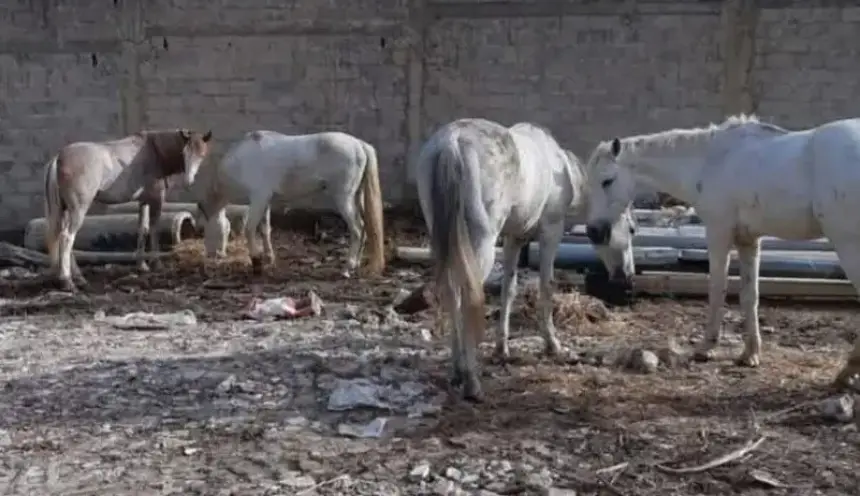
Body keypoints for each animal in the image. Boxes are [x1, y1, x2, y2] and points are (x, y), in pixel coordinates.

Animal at [42, 129, 212, 290]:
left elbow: (143, 229)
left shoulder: (143, 201)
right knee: (67, 238)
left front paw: (142, 266)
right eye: (184, 153)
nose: (189, 181)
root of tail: (58, 158)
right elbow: (154, 229)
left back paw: (78, 278)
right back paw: (67, 281)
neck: (154, 150)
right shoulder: (157, 199)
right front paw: (156, 263)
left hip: (63, 210)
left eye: (202, 155)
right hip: (78, 209)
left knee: (62, 237)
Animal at [195, 130, 386, 278]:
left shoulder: (258, 198)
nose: (210, 256)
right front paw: (269, 258)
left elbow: (249, 229)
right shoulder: (265, 201)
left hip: (343, 198)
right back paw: (356, 264)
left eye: (205, 230)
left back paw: (347, 268)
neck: (241, 160)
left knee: (357, 229)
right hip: (356, 197)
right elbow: (265, 229)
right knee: (364, 228)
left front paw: (256, 262)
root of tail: (359, 144)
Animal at [414, 117, 636, 400]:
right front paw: (553, 344)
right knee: (467, 297)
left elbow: (508, 290)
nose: (626, 275)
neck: (560, 169)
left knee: (452, 293)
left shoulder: (514, 238)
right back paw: (471, 381)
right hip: (481, 243)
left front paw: (502, 348)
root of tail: (452, 141)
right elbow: (546, 286)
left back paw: (456, 369)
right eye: (631, 229)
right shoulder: (551, 231)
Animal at [580, 113, 860, 388]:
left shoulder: (718, 233)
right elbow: (749, 296)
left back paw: (847, 371)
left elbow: (717, 289)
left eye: (607, 180)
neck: (710, 161)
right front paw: (750, 354)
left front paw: (706, 348)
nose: (594, 230)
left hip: (848, 245)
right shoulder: (749, 240)